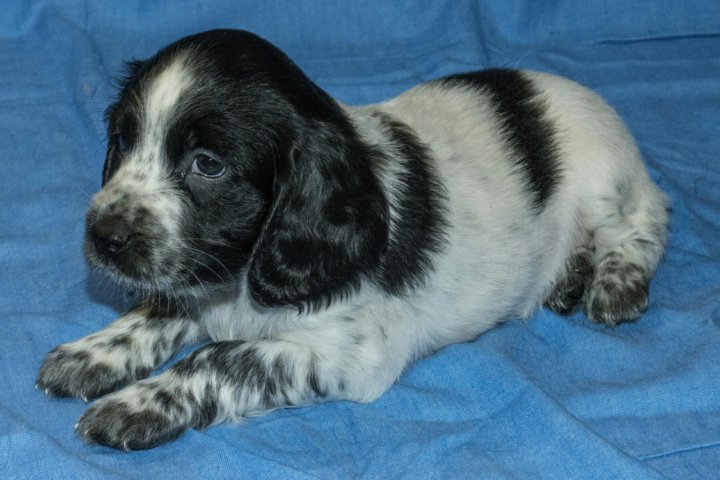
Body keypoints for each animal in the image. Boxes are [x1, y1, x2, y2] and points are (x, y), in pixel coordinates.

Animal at [37, 29, 668, 450]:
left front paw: (139, 403)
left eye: (207, 165)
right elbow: (161, 307)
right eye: (122, 140)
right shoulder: (199, 275)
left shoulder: (356, 351)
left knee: (647, 222)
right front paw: (93, 352)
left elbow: (221, 355)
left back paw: (613, 283)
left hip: (607, 181)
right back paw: (567, 277)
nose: (104, 236)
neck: (243, 278)